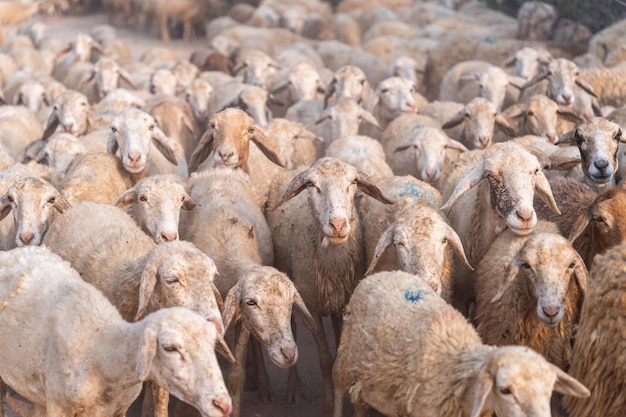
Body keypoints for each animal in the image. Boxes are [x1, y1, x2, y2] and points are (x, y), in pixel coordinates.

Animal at [264, 157, 392, 416]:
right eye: (311, 185)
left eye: (353, 182)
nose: (338, 224)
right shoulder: (311, 309)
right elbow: (325, 360)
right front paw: (328, 405)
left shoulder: (345, 306)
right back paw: (294, 387)